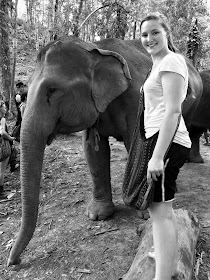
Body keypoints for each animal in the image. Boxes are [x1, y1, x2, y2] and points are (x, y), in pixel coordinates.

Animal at [7, 36, 203, 266]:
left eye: (52, 90)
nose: (14, 262)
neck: (96, 49)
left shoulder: (136, 98)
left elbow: (137, 144)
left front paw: (145, 214)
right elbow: (93, 151)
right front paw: (98, 215)